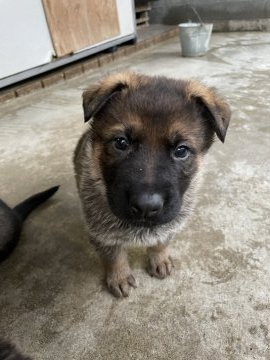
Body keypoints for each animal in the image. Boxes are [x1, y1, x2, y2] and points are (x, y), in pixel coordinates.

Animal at [73, 71, 230, 296]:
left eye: (181, 151)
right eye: (121, 142)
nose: (146, 206)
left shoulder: (168, 224)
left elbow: (160, 242)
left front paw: (160, 259)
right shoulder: (102, 234)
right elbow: (114, 256)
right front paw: (119, 277)